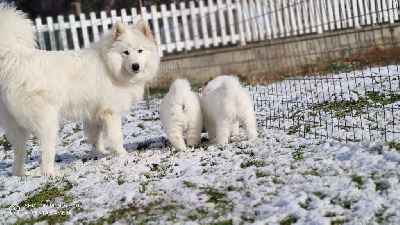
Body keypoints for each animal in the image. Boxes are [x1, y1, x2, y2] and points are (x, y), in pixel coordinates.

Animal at [0, 2, 159, 177]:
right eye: (126, 52)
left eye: (140, 51)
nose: (135, 66)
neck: (109, 65)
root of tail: (14, 56)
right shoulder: (111, 113)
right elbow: (116, 137)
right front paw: (123, 154)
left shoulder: (94, 115)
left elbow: (96, 138)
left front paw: (101, 153)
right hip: (48, 121)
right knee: (45, 150)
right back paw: (51, 173)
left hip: (17, 126)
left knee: (19, 151)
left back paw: (20, 175)